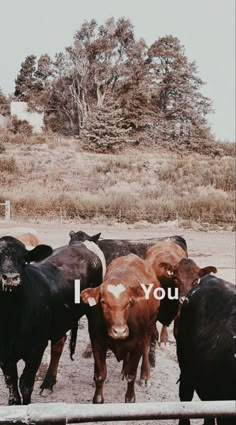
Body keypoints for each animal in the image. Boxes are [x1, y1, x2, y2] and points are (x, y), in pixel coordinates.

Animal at [0, 235, 103, 404]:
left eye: (24, 260)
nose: (10, 277)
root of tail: (80, 246)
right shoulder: (5, 355)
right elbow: (12, 387)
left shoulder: (36, 349)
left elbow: (25, 384)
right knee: (58, 344)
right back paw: (48, 383)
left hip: (93, 309)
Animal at [80, 253, 160, 402]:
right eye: (103, 302)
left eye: (129, 302)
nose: (119, 331)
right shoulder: (97, 344)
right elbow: (100, 375)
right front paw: (98, 399)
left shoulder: (138, 345)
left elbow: (132, 375)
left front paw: (130, 398)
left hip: (151, 324)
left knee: (147, 346)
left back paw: (145, 376)